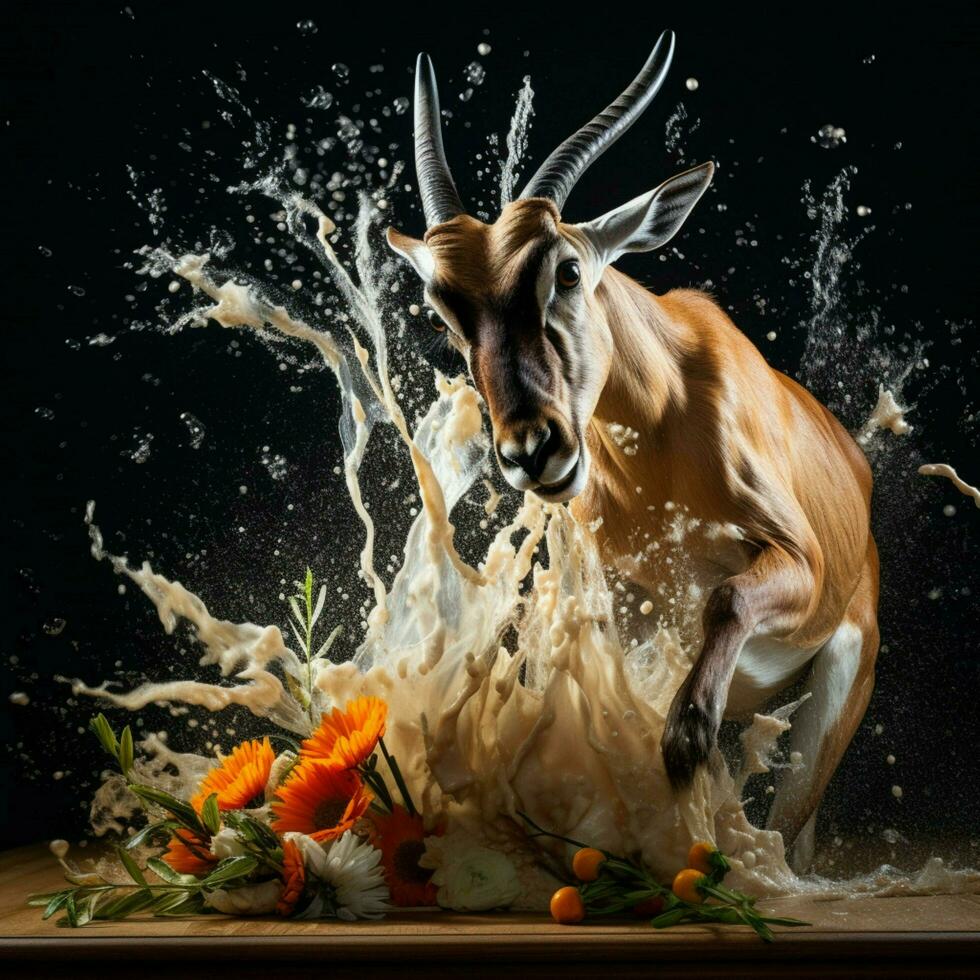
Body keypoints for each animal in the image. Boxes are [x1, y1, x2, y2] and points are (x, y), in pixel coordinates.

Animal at [386, 32, 876, 872]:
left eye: (566, 268)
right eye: (447, 313)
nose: (532, 448)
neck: (662, 440)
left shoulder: (799, 561)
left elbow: (725, 595)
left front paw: (688, 736)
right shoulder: (625, 611)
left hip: (837, 690)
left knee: (788, 829)